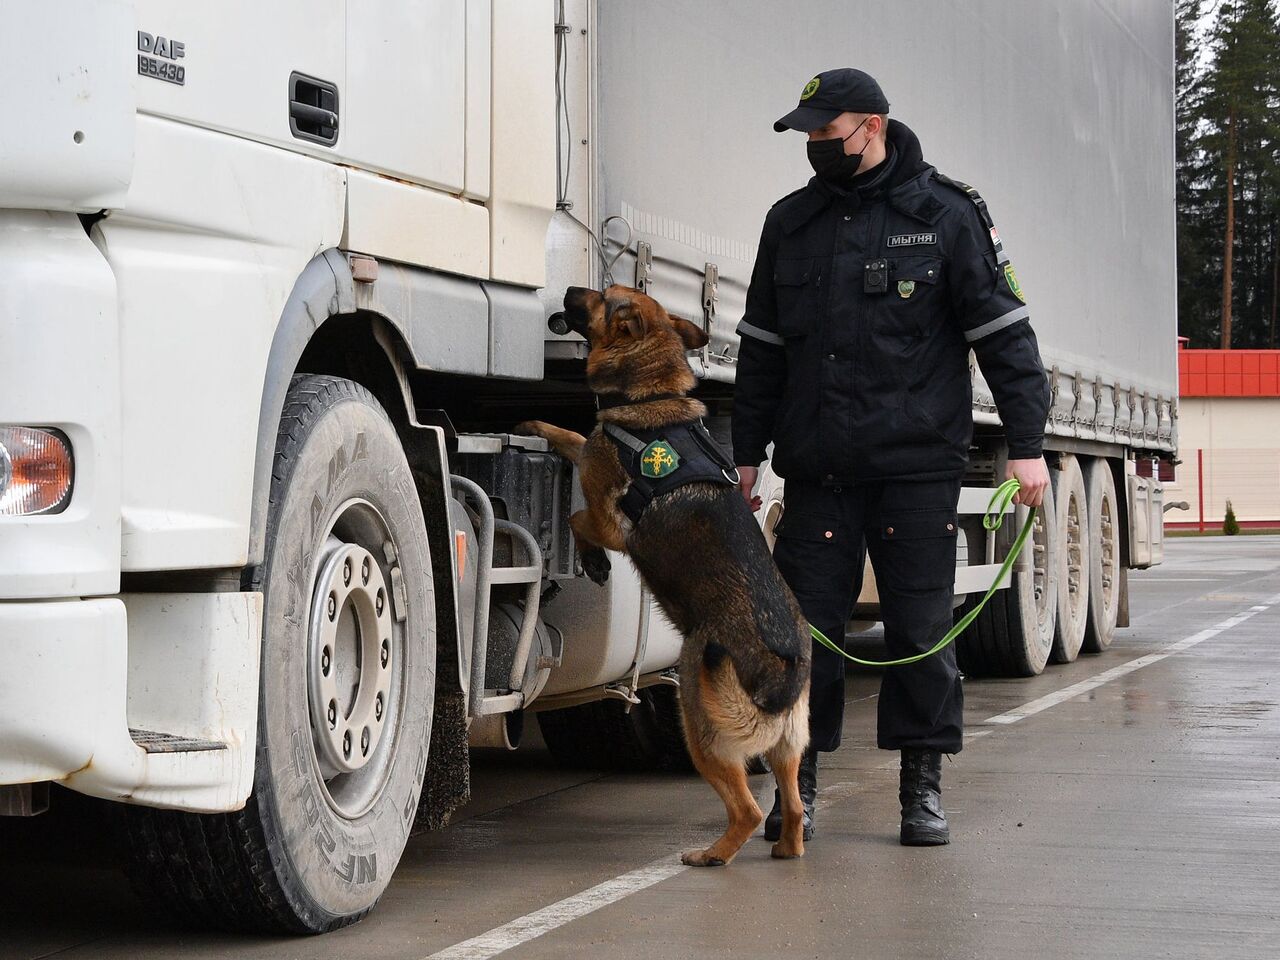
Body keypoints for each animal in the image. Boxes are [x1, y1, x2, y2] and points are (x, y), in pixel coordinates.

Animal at [517, 284, 808, 865]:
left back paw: (711, 855)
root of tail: (782, 667)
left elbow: (577, 516)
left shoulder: (611, 519)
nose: (569, 289)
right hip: (788, 749)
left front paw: (594, 561)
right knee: (792, 806)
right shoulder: (593, 451)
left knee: (746, 808)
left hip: (699, 724)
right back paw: (786, 849)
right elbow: (571, 434)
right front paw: (535, 425)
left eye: (601, 297)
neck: (648, 395)